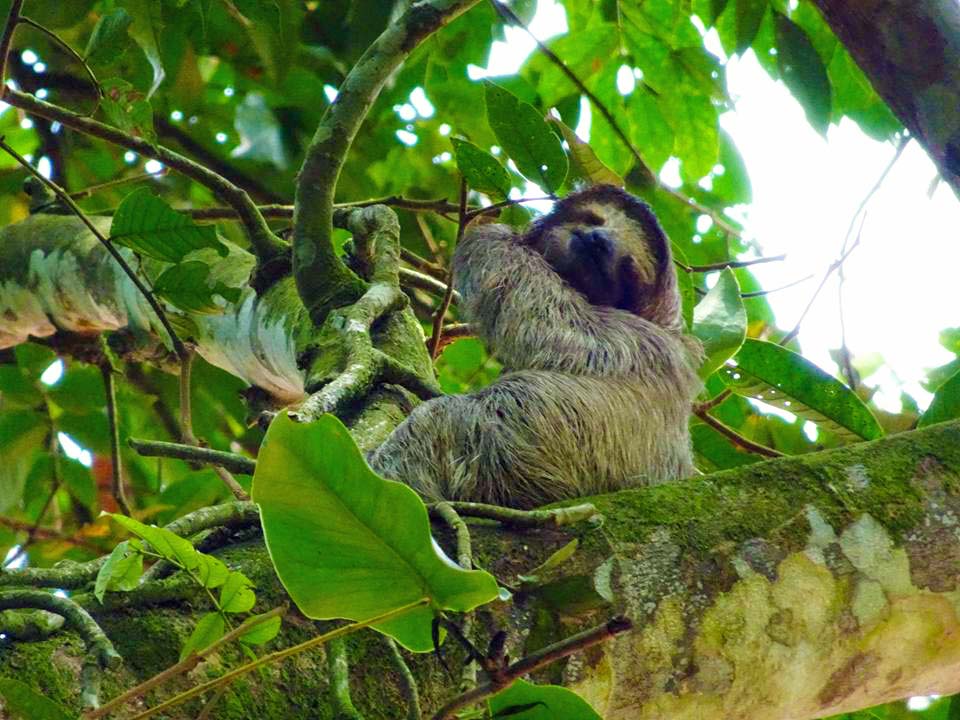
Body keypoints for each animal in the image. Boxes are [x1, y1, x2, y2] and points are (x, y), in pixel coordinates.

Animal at [367, 185, 702, 509]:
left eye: (628, 267)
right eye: (594, 219)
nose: (598, 241)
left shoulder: (627, 336)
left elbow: (543, 319)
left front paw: (494, 233)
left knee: (439, 420)